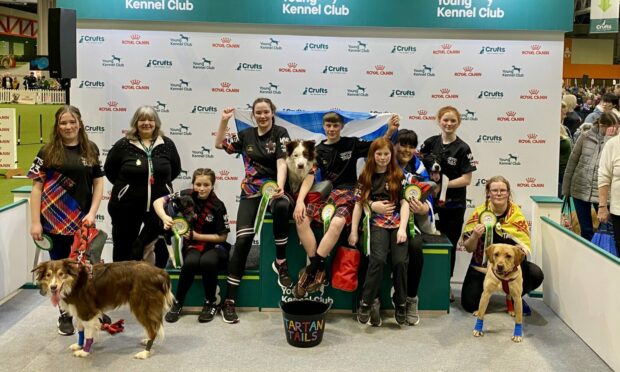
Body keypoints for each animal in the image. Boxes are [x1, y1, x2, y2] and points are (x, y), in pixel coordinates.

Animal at [34, 258, 174, 358]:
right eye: (48, 275)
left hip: (141, 306)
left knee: (153, 329)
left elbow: (88, 334)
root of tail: (160, 272)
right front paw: (79, 345)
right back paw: (147, 340)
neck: (74, 282)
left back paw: (145, 353)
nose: (53, 287)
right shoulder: (79, 311)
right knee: (153, 328)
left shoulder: (87, 312)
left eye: (61, 274)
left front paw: (85, 351)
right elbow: (81, 331)